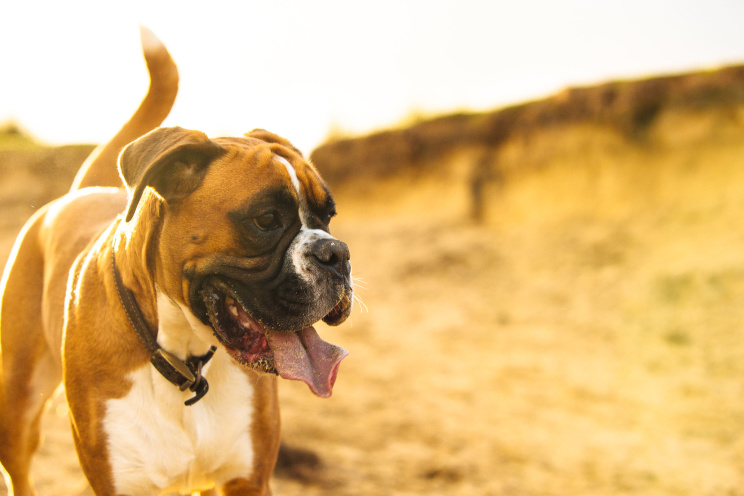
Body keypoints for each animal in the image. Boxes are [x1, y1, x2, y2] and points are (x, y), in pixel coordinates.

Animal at [0, 28, 352, 496]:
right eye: (265, 219)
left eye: (328, 216)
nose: (336, 254)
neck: (182, 355)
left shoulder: (246, 480)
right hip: (16, 409)